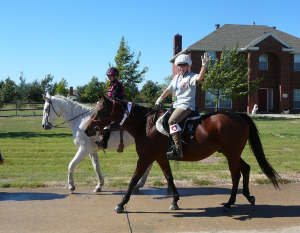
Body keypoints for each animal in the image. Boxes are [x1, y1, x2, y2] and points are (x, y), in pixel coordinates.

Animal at [84, 94, 282, 213]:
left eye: (101, 110)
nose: (87, 129)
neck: (145, 125)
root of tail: (240, 115)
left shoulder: (146, 157)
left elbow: (133, 180)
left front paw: (121, 203)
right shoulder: (160, 157)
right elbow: (169, 178)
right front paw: (175, 201)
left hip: (231, 154)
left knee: (236, 175)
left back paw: (229, 203)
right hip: (230, 153)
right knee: (246, 168)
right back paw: (248, 196)